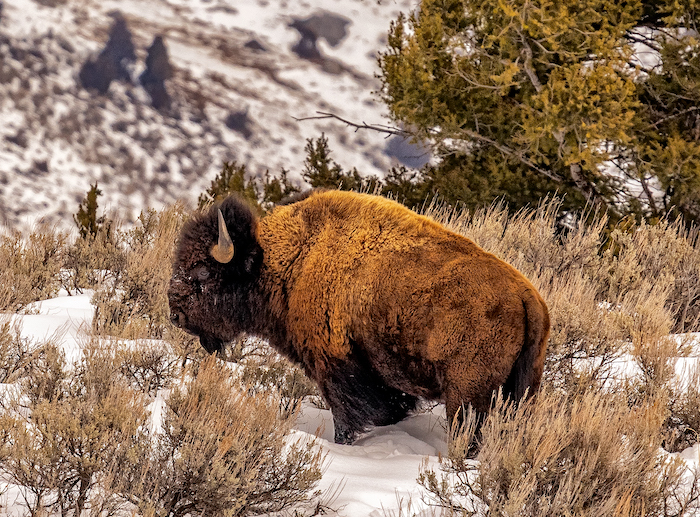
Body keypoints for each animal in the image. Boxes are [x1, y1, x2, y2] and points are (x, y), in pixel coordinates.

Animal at [168, 190, 549, 444]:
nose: (174, 313)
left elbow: (346, 417)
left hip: (466, 394)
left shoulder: (335, 366)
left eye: (202, 272)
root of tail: (526, 296)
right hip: (523, 389)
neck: (290, 260)